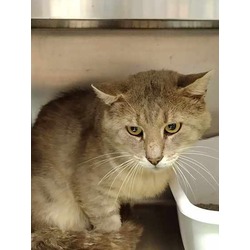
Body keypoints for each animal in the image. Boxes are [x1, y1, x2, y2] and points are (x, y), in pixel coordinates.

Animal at [30, 69, 211, 249]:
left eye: (172, 127)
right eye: (134, 130)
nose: (154, 159)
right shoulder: (93, 193)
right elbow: (109, 228)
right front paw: (115, 239)